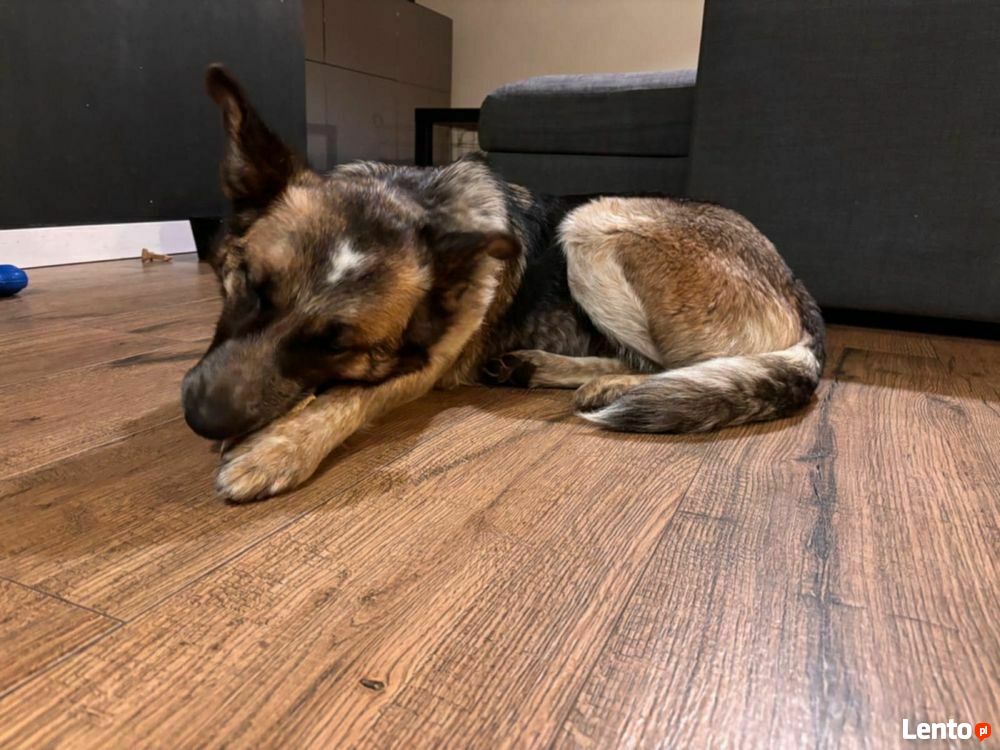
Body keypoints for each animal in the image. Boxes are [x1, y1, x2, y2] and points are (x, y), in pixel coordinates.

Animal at [182, 65, 826, 502]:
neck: (414, 201)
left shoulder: (421, 367)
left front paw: (276, 449)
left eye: (337, 343)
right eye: (250, 286)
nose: (201, 419)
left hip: (592, 220)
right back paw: (537, 368)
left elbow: (348, 397)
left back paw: (604, 387)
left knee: (664, 365)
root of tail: (801, 292)